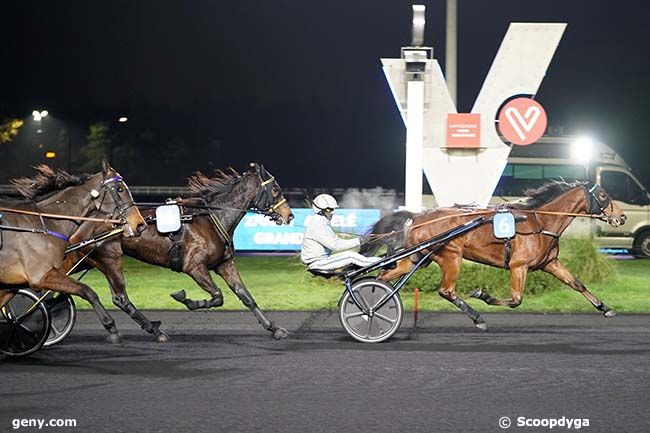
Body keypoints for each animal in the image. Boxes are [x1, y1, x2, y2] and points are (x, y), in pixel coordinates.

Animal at [0, 161, 144, 340]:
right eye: (119, 189)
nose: (140, 224)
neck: (44, 224)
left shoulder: (10, 286)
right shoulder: (41, 276)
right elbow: (87, 290)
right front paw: (110, 325)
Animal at [62, 163, 294, 340]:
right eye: (275, 189)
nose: (290, 215)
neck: (210, 219)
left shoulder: (224, 264)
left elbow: (246, 297)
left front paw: (274, 328)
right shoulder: (194, 267)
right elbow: (217, 296)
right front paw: (186, 299)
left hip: (95, 261)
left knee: (117, 298)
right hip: (103, 259)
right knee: (119, 298)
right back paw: (154, 331)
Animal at [364, 181, 624, 330]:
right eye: (603, 195)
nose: (621, 217)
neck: (540, 221)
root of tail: (418, 216)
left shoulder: (550, 263)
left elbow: (577, 283)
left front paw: (606, 308)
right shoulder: (519, 266)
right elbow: (516, 300)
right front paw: (483, 295)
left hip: (418, 258)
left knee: (382, 278)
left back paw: (372, 306)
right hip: (451, 256)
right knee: (446, 290)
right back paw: (477, 318)